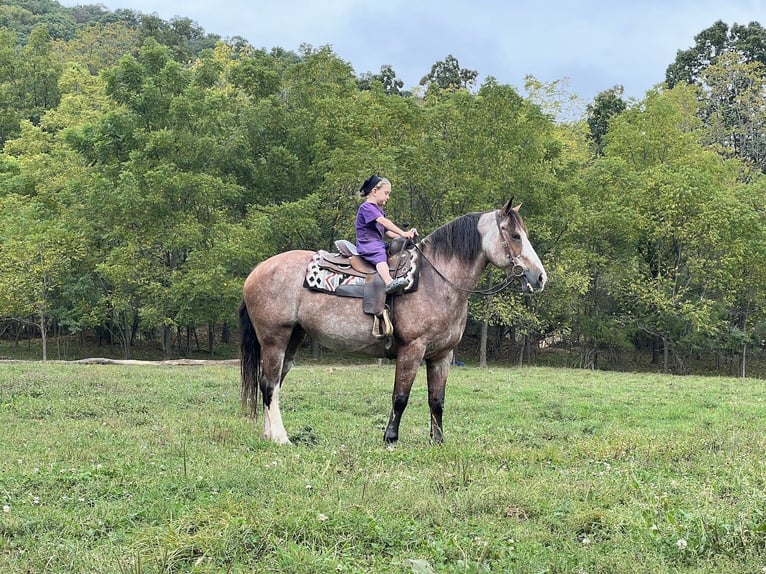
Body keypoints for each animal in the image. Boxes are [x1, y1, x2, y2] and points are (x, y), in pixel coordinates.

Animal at [240, 200, 544, 448]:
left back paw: (269, 435)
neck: (436, 281)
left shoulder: (442, 355)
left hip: (294, 338)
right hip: (274, 339)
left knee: (272, 384)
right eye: (515, 236)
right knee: (269, 384)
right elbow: (400, 397)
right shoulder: (412, 349)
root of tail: (255, 272)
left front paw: (437, 441)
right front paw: (390, 438)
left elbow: (437, 400)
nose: (540, 277)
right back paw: (281, 438)